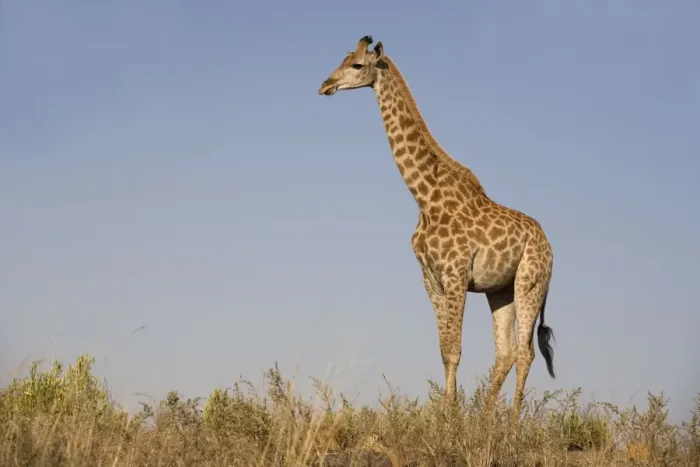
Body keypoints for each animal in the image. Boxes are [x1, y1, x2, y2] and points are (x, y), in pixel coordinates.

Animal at [317, 36, 556, 417]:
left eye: (356, 65)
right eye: (343, 59)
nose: (326, 85)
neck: (424, 197)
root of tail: (550, 247)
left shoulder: (456, 274)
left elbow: (455, 350)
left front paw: (450, 420)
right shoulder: (430, 279)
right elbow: (445, 352)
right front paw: (448, 415)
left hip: (530, 282)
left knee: (525, 351)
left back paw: (512, 422)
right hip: (500, 290)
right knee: (505, 352)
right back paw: (485, 419)